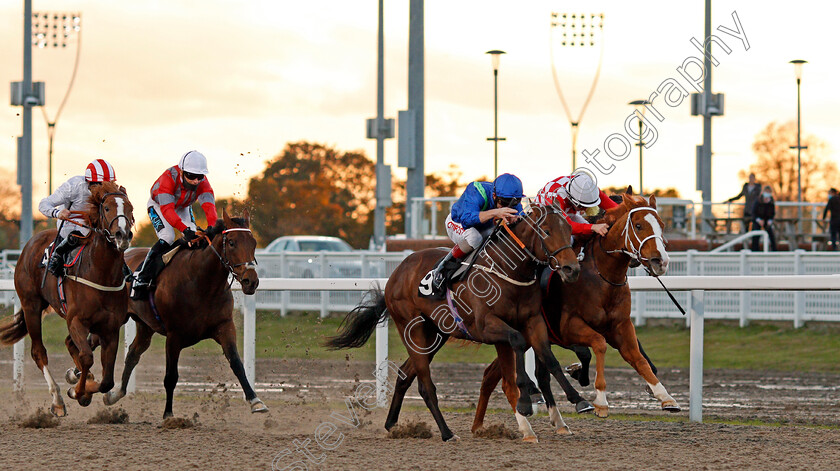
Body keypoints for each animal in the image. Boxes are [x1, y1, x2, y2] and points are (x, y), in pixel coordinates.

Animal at [0, 183, 134, 414]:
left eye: (130, 208)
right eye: (107, 208)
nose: (122, 235)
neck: (101, 273)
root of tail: (30, 243)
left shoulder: (110, 328)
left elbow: (107, 380)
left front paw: (85, 387)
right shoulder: (76, 321)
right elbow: (86, 357)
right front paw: (77, 392)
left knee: (71, 345)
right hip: (31, 306)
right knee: (39, 351)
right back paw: (58, 400)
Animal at [102, 212, 266, 418]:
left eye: (253, 242)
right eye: (232, 243)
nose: (250, 281)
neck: (201, 283)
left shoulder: (225, 326)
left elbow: (237, 363)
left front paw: (255, 401)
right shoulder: (174, 336)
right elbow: (171, 377)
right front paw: (168, 415)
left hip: (145, 326)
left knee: (133, 353)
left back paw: (114, 394)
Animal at [324, 206, 592, 442]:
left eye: (569, 229)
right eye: (546, 231)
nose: (571, 269)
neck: (508, 271)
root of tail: (396, 273)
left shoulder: (534, 321)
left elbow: (549, 359)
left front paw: (578, 399)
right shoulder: (486, 326)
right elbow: (516, 345)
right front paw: (527, 399)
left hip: (434, 335)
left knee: (404, 375)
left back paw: (392, 424)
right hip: (412, 328)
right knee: (426, 386)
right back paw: (446, 433)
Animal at [472, 191, 684, 442]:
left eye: (661, 225)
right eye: (639, 225)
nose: (660, 261)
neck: (602, 276)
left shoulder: (621, 326)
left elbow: (639, 359)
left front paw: (666, 397)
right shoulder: (568, 327)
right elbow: (598, 345)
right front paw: (600, 401)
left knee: (498, 375)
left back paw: (485, 425)